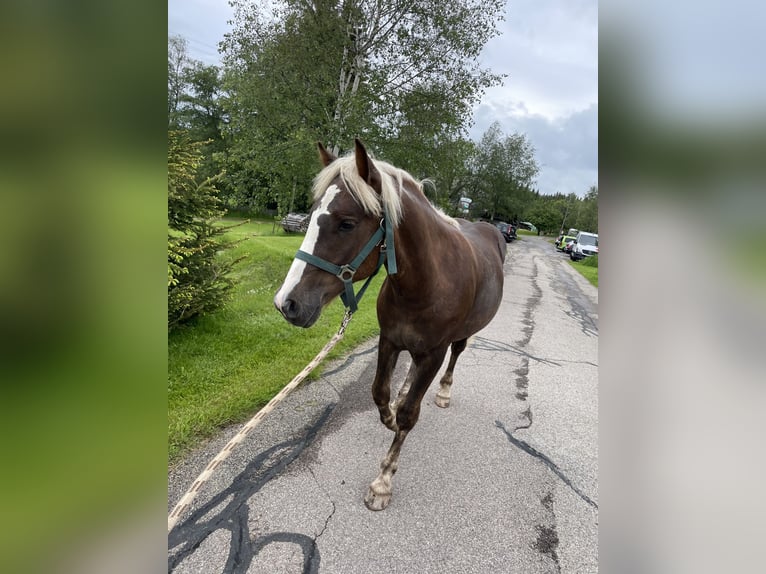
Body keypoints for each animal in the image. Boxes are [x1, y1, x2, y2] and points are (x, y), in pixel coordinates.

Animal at [272, 141, 508, 512]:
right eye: (312, 216)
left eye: (347, 223)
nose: (287, 303)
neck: (427, 282)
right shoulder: (390, 340)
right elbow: (380, 393)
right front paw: (391, 414)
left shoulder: (434, 353)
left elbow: (411, 414)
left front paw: (383, 481)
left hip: (460, 339)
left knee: (457, 354)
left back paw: (443, 392)